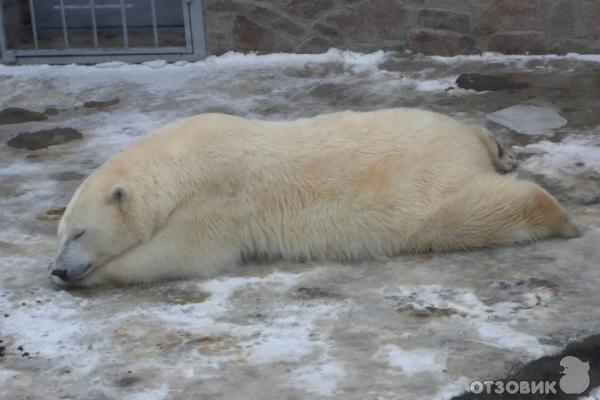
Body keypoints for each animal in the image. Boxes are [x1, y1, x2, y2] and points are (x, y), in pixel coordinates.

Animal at [51, 108, 580, 286]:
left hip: (426, 191)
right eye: (60, 232)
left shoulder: (217, 200)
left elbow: (182, 254)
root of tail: (461, 147)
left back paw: (562, 218)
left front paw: (94, 275)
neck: (181, 162)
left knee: (477, 211)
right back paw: (500, 151)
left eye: (79, 232)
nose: (57, 270)